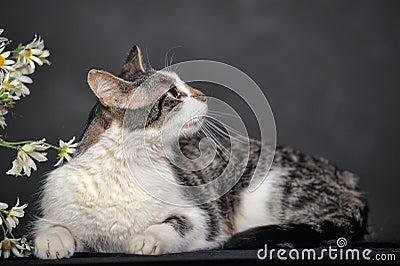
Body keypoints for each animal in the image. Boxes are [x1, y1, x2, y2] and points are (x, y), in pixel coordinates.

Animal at [32, 46, 368, 260]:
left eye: (185, 86)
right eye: (174, 94)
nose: (204, 96)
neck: (127, 168)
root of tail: (349, 180)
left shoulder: (202, 217)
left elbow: (174, 224)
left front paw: (146, 238)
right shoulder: (56, 207)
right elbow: (50, 225)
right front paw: (53, 242)